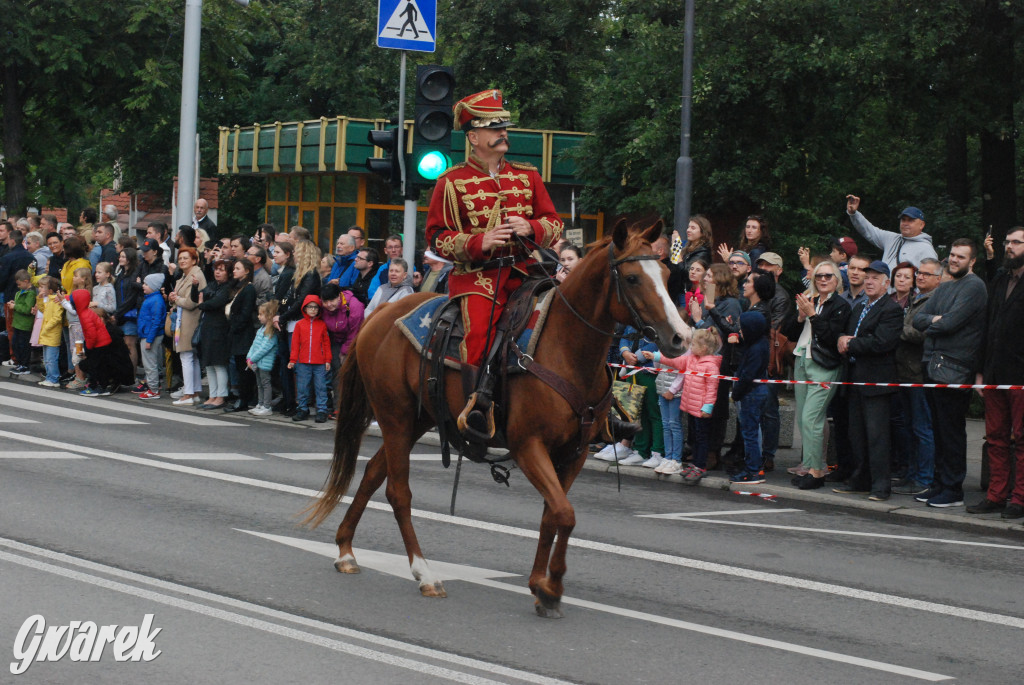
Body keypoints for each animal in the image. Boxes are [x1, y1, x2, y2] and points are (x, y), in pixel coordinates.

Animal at [301, 220, 688, 618]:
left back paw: (346, 549)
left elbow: (554, 514)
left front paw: (540, 585)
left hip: (415, 421)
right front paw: (551, 587)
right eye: (632, 278)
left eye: (666, 274)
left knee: (373, 474)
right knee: (397, 491)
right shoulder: (528, 446)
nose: (680, 337)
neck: (565, 348)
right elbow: (564, 514)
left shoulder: (574, 452)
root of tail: (378, 316)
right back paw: (424, 573)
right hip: (396, 418)